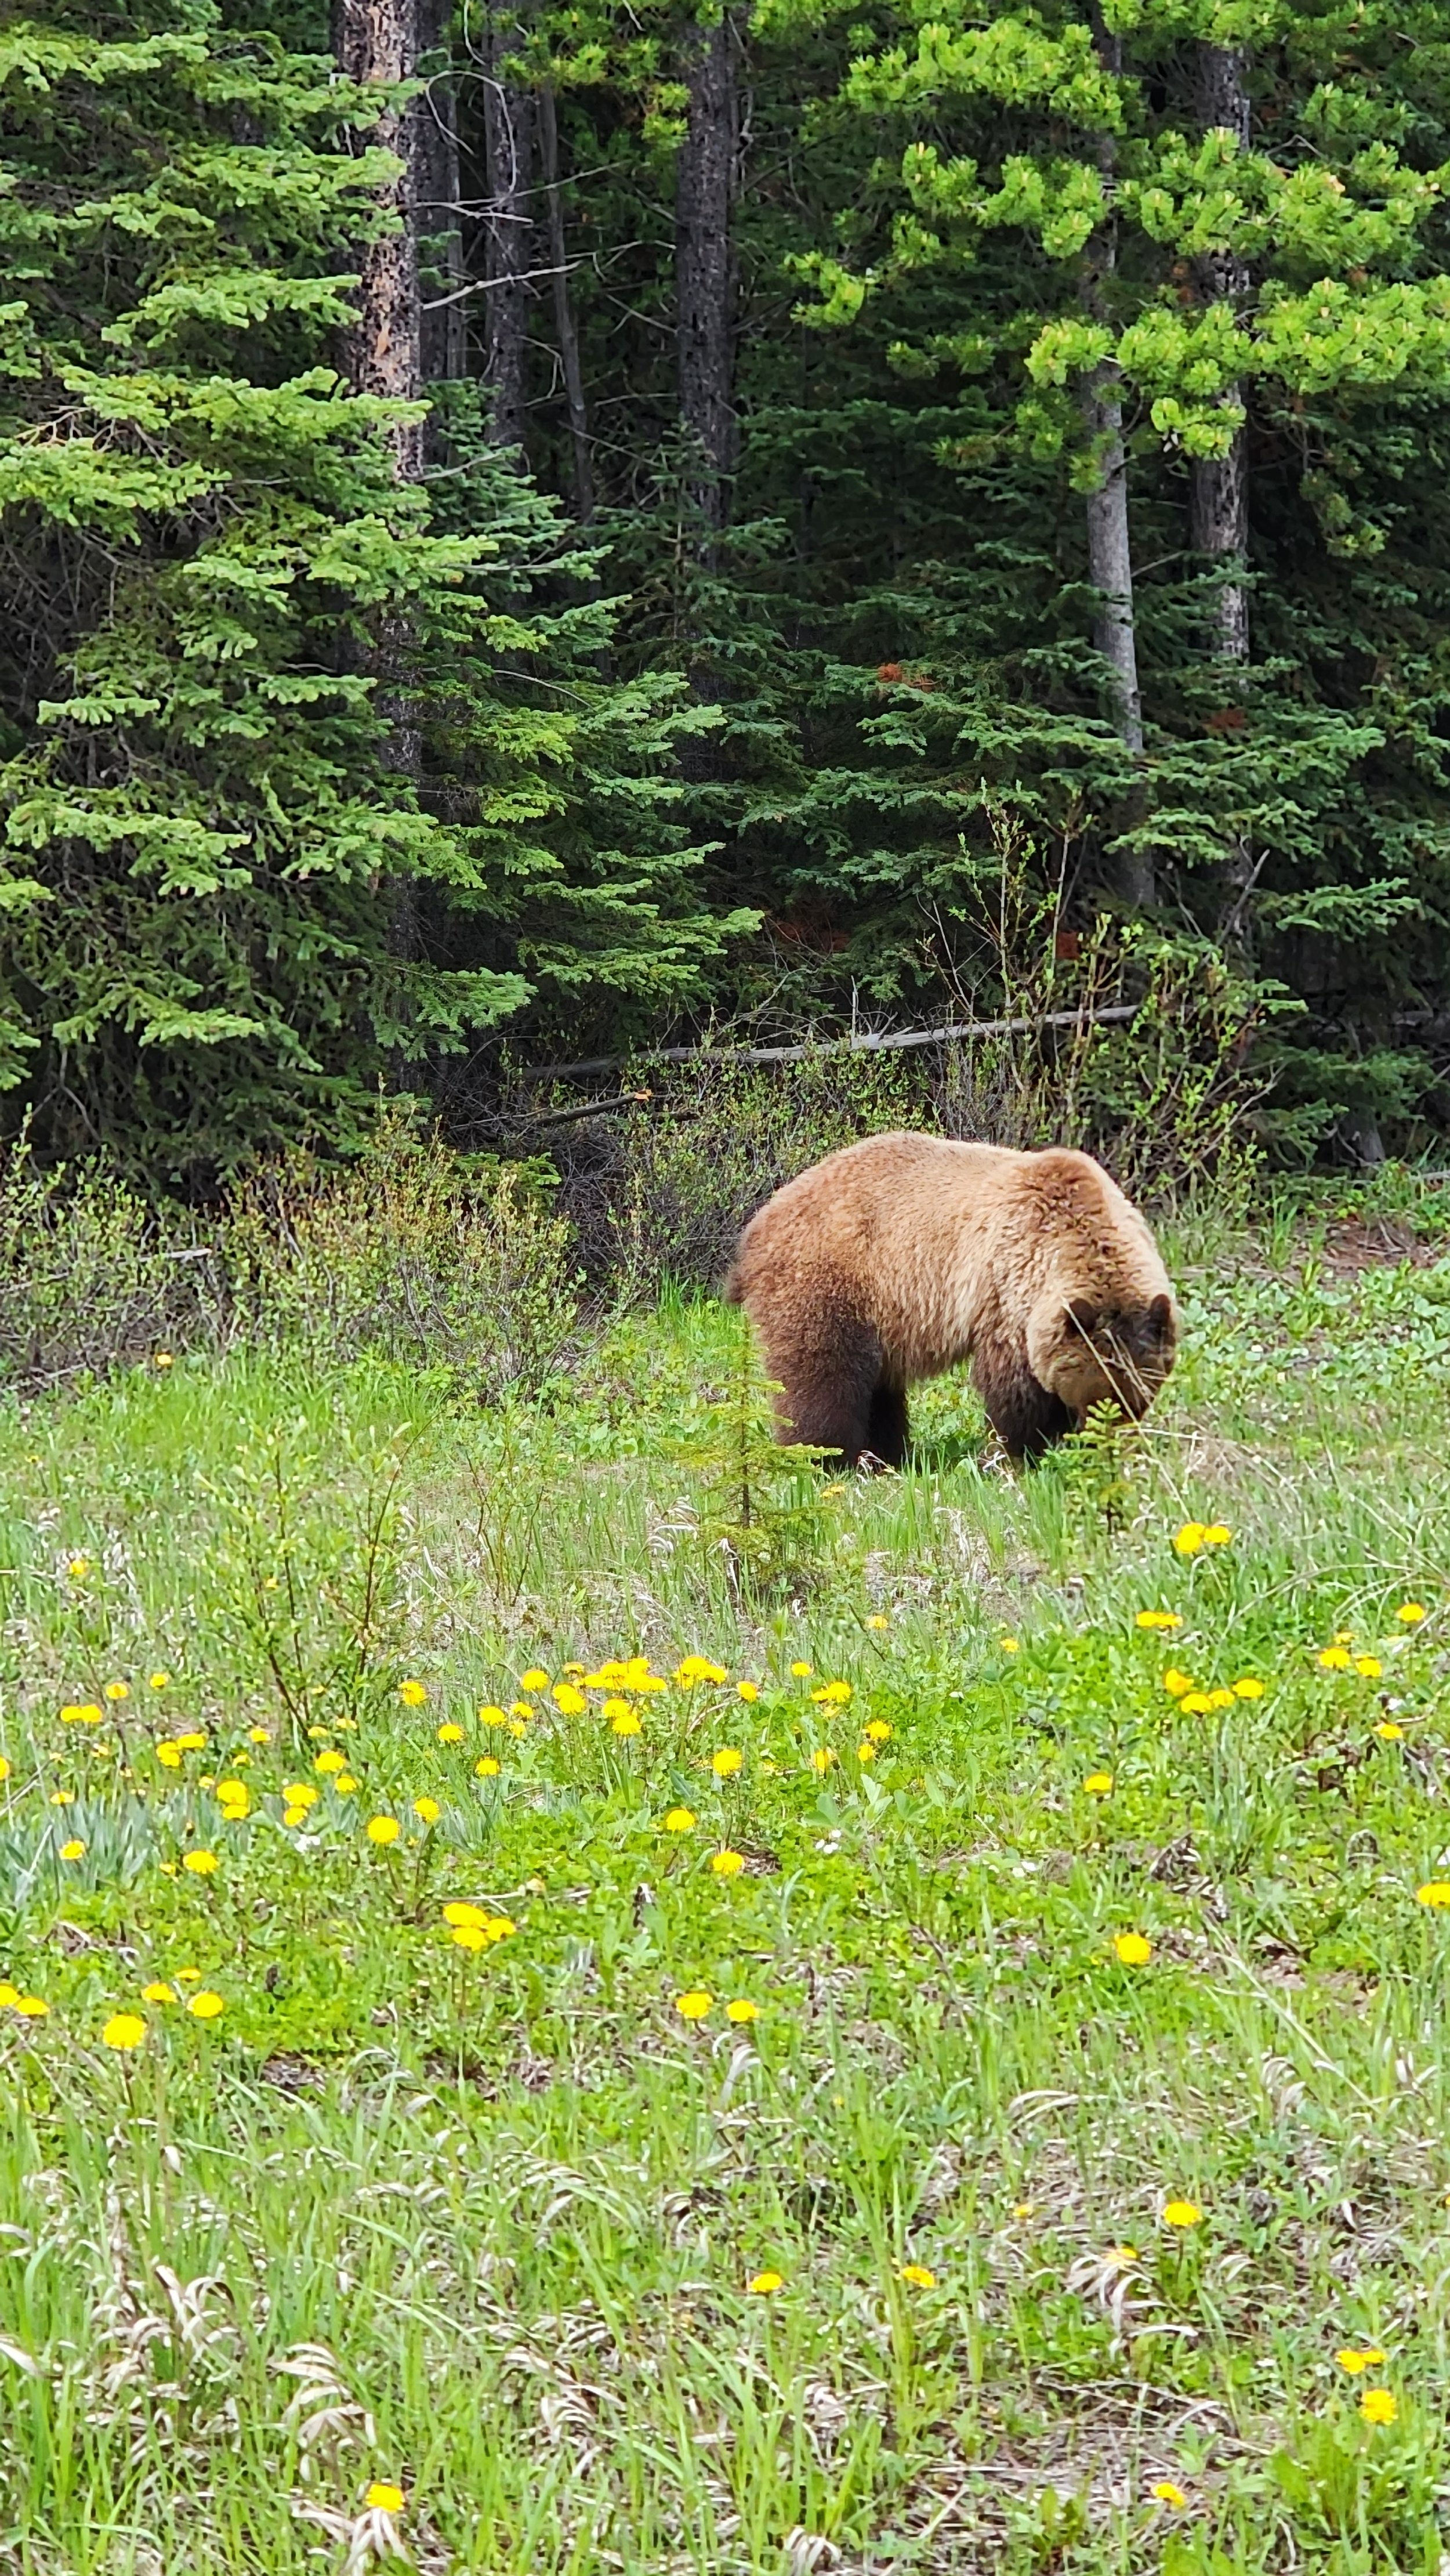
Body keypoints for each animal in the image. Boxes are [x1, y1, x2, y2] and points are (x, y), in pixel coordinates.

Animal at [724, 1132, 1177, 1466]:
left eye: (1135, 1398)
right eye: (1097, 1395)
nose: (1107, 1444)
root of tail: (758, 1225)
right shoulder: (1005, 1292)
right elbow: (1014, 1392)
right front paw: (1021, 1450)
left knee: (879, 1389)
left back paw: (887, 1456)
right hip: (829, 1281)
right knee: (822, 1374)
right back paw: (828, 1457)